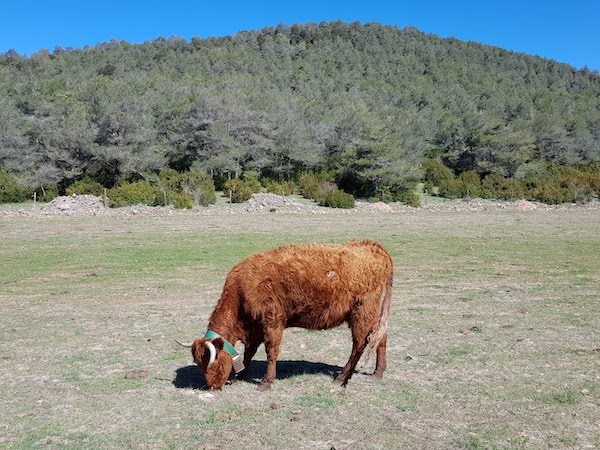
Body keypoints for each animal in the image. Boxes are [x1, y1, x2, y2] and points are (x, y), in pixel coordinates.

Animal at [177, 239, 394, 390]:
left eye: (211, 364)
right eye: (199, 365)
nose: (211, 386)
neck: (241, 289)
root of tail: (372, 246)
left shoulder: (272, 321)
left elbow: (271, 351)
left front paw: (265, 382)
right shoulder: (255, 328)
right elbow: (249, 352)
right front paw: (242, 374)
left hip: (362, 313)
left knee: (360, 344)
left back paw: (342, 378)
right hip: (373, 315)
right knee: (380, 337)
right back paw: (378, 372)